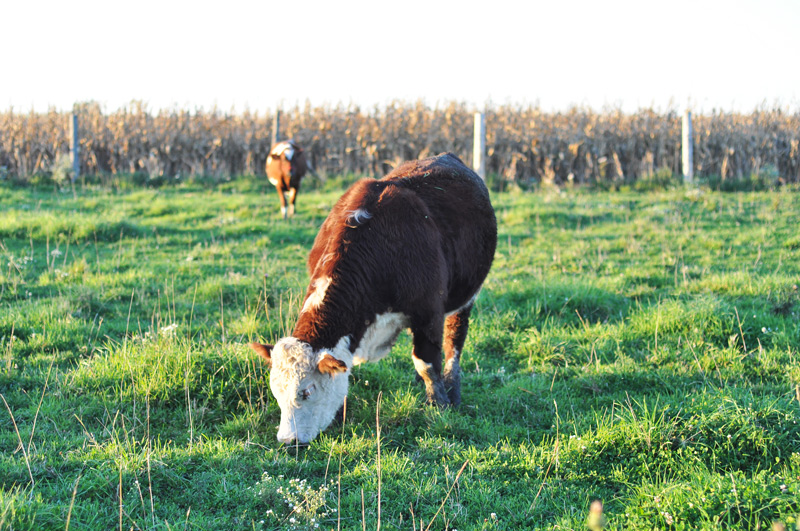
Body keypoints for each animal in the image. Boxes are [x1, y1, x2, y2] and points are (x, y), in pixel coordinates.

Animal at [250, 153, 497, 444]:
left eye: (307, 391)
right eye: (275, 391)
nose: (288, 440)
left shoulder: (429, 312)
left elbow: (426, 362)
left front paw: (439, 404)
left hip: (465, 300)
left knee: (453, 344)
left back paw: (451, 386)